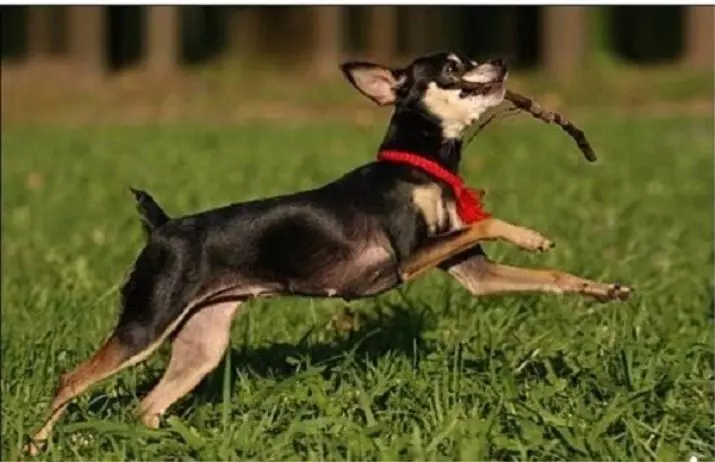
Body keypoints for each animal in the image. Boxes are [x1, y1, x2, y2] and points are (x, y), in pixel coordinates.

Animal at [28, 50, 632, 452]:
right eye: (452, 69)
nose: (502, 63)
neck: (419, 166)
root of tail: (163, 226)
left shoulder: (471, 272)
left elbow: (549, 275)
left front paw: (602, 289)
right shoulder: (409, 260)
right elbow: (491, 222)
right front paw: (530, 234)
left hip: (201, 343)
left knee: (146, 407)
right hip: (146, 324)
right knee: (70, 380)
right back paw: (36, 443)